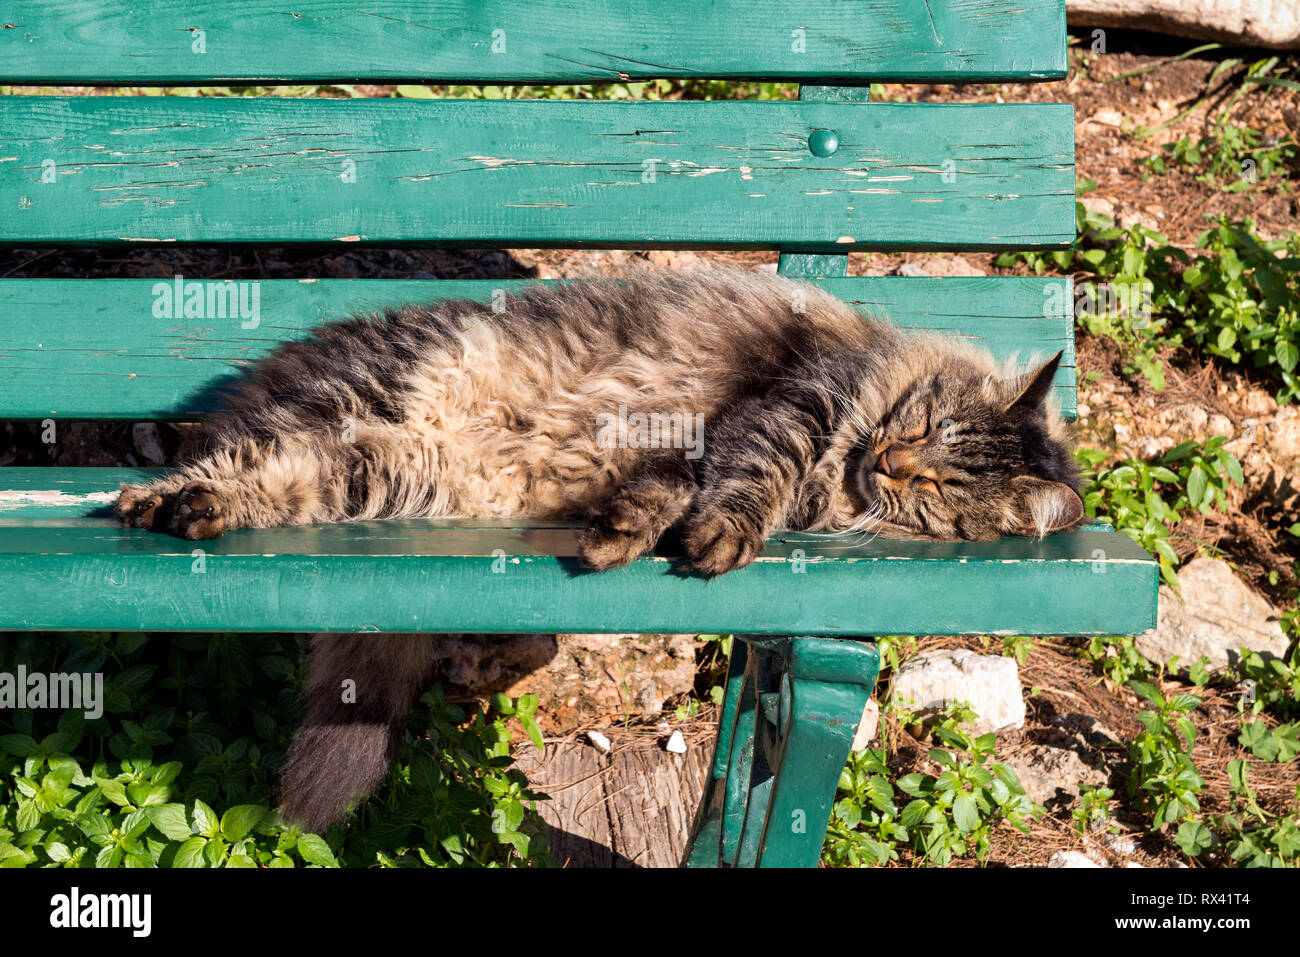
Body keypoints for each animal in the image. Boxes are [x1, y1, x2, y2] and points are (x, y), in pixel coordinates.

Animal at [114, 265, 1086, 826]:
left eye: (939, 489)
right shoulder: (781, 407)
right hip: (370, 410)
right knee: (237, 455)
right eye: (923, 427)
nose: (888, 459)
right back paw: (151, 499)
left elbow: (654, 504)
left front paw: (628, 533)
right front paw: (720, 534)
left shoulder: (680, 451)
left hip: (383, 472)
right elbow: (743, 479)